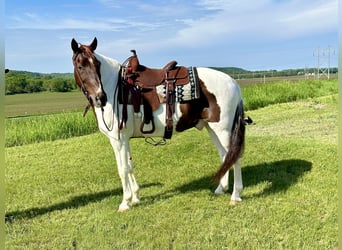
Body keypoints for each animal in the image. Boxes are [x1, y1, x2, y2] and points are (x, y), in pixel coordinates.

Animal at [71, 38, 246, 212]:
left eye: (97, 64)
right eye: (80, 66)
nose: (100, 97)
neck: (116, 87)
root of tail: (233, 83)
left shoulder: (118, 140)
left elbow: (123, 169)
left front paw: (125, 202)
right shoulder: (125, 139)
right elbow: (130, 164)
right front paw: (135, 198)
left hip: (223, 130)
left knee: (234, 156)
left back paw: (235, 195)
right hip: (213, 129)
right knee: (225, 156)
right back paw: (221, 188)